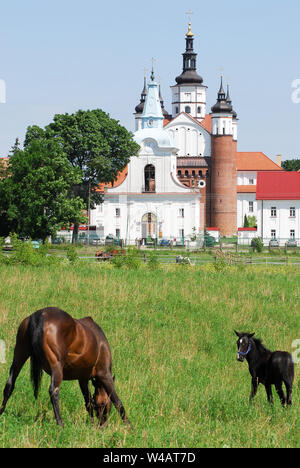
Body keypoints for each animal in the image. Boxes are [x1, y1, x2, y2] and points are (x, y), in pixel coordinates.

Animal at [0, 308, 131, 428]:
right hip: (56, 367)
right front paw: (129, 427)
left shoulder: (82, 379)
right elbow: (117, 401)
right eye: (104, 404)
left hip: (19, 356)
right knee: (54, 391)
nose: (102, 425)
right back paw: (60, 424)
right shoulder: (104, 374)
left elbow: (88, 402)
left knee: (9, 385)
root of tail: (39, 315)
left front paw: (92, 425)